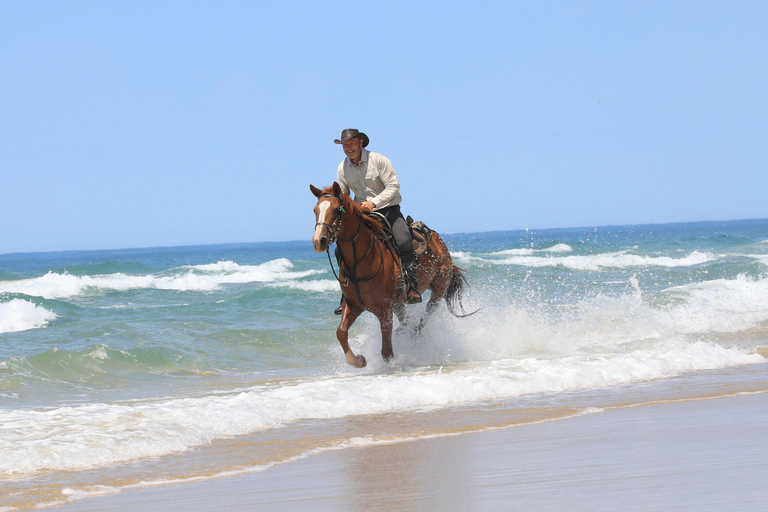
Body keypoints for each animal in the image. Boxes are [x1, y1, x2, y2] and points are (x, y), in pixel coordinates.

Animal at [308, 184, 472, 368]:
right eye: (315, 210)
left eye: (336, 210)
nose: (319, 241)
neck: (362, 261)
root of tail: (439, 242)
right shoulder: (353, 305)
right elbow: (341, 333)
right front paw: (359, 360)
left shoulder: (384, 310)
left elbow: (387, 352)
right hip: (400, 303)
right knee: (406, 323)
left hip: (438, 291)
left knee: (424, 319)